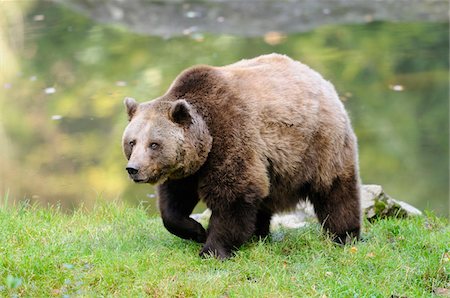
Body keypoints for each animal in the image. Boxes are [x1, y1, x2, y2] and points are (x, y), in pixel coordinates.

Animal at [123, 54, 362, 260]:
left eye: (154, 144)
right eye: (132, 142)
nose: (134, 169)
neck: (205, 139)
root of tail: (320, 79)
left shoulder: (230, 136)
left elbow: (233, 194)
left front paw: (212, 249)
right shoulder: (189, 169)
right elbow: (174, 203)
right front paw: (196, 230)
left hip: (318, 144)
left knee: (334, 191)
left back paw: (344, 236)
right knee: (264, 197)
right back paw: (258, 235)